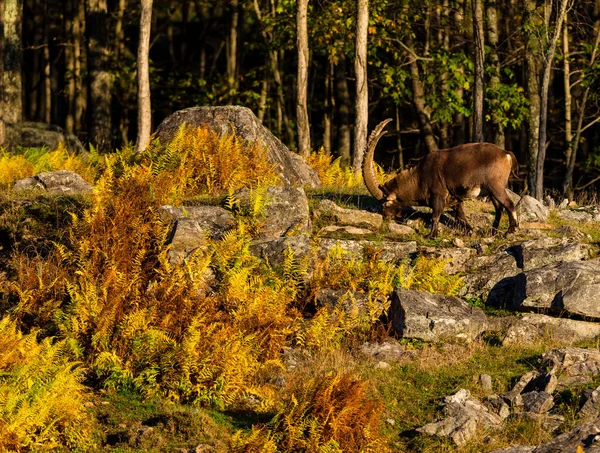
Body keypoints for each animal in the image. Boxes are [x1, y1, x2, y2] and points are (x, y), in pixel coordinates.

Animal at [364, 118, 516, 238]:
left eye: (385, 204)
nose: (385, 218)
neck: (419, 177)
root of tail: (505, 154)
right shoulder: (455, 199)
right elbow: (460, 216)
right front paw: (469, 232)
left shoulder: (438, 194)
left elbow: (435, 215)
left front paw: (430, 235)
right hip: (491, 192)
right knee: (499, 208)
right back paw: (493, 231)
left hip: (495, 186)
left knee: (509, 204)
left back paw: (510, 231)